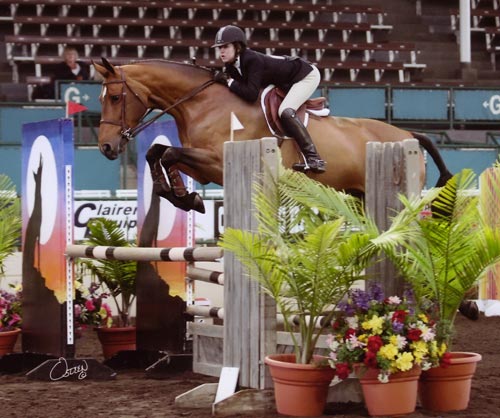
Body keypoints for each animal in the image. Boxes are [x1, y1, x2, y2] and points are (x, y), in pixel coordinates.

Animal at [93, 57, 454, 214]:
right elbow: (158, 154)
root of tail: (407, 133)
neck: (201, 102)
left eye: (116, 98)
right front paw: (182, 196)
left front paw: (184, 197)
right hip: (359, 197)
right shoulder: (204, 168)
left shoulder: (218, 162)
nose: (106, 147)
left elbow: (166, 153)